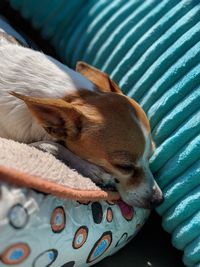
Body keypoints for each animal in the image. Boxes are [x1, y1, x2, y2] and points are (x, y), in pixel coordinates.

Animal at [0, 16, 163, 209]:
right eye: (125, 166)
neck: (74, 95)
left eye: (150, 156)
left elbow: (50, 144)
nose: (159, 200)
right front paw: (93, 171)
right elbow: (51, 145)